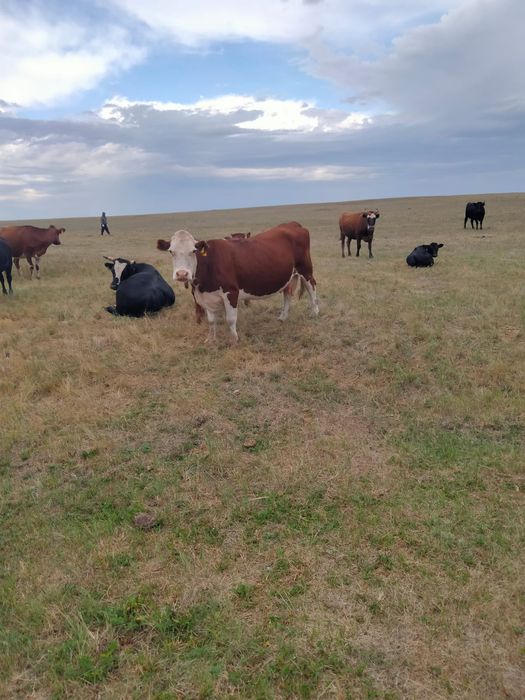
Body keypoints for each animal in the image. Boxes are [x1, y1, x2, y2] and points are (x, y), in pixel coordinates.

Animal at [156, 221, 319, 343]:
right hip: (288, 276)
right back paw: (283, 317)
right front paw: (210, 339)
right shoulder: (206, 297)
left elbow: (230, 319)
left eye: (193, 251)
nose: (182, 274)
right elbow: (211, 321)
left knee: (312, 287)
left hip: (305, 269)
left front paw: (234, 339)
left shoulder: (231, 291)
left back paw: (315, 312)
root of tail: (293, 224)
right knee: (287, 294)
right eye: (171, 251)